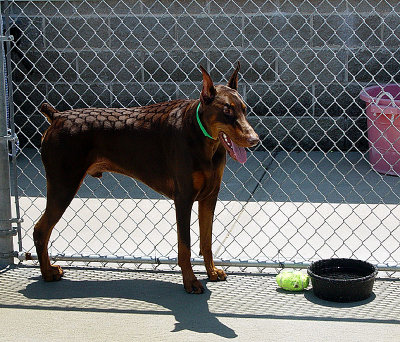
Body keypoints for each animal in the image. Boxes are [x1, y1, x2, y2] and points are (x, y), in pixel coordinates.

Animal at [34, 62, 260, 292]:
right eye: (227, 110)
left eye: (244, 109)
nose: (255, 140)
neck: (202, 137)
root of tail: (57, 116)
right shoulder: (184, 198)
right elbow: (185, 246)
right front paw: (190, 281)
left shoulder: (209, 196)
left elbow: (206, 241)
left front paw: (211, 272)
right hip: (63, 185)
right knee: (40, 230)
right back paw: (48, 273)